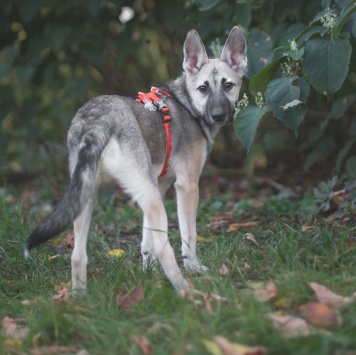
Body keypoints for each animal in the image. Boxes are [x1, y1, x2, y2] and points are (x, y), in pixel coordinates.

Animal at [25, 25, 248, 294]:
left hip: (88, 196)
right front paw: (193, 267)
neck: (185, 104)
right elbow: (188, 236)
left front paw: (147, 273)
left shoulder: (157, 187)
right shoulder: (186, 186)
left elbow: (145, 239)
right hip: (144, 197)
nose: (218, 116)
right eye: (203, 89)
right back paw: (186, 291)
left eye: (228, 85)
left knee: (78, 255)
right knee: (165, 249)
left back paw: (79, 297)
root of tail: (97, 123)